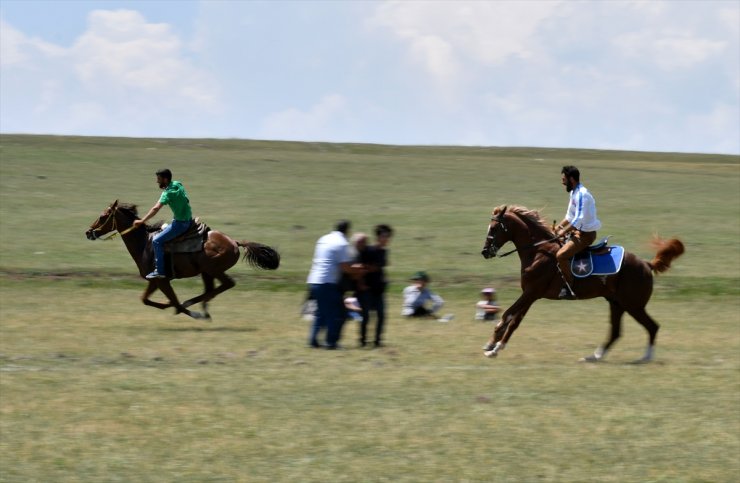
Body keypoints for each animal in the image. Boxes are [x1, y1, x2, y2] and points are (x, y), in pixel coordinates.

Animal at [84, 201, 280, 322]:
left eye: (103, 216)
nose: (88, 232)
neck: (145, 243)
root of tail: (235, 242)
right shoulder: (154, 281)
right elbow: (145, 299)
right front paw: (173, 306)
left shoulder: (162, 280)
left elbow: (174, 301)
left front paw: (188, 311)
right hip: (206, 272)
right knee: (210, 290)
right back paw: (202, 306)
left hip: (213, 270)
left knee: (226, 284)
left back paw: (198, 307)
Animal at [482, 205, 684, 364]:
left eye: (494, 228)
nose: (485, 251)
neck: (538, 251)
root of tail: (646, 264)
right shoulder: (531, 296)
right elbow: (514, 322)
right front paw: (496, 348)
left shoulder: (530, 293)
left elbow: (506, 316)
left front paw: (491, 344)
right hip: (617, 303)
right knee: (616, 332)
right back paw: (594, 357)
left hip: (633, 305)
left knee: (652, 327)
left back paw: (645, 358)